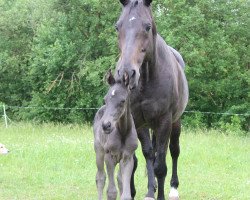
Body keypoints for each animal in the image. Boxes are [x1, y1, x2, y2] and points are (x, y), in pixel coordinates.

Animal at [93, 70, 138, 200]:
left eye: (122, 101)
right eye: (105, 99)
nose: (106, 125)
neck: (123, 131)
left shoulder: (128, 157)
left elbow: (125, 193)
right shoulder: (109, 156)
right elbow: (111, 192)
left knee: (119, 180)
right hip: (99, 152)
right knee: (100, 178)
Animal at [114, 0, 188, 199]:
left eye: (147, 27)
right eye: (117, 26)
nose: (126, 73)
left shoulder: (164, 121)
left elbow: (161, 165)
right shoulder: (136, 121)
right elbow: (140, 157)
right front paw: (133, 192)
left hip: (175, 122)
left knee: (174, 151)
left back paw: (173, 188)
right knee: (150, 154)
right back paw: (150, 189)